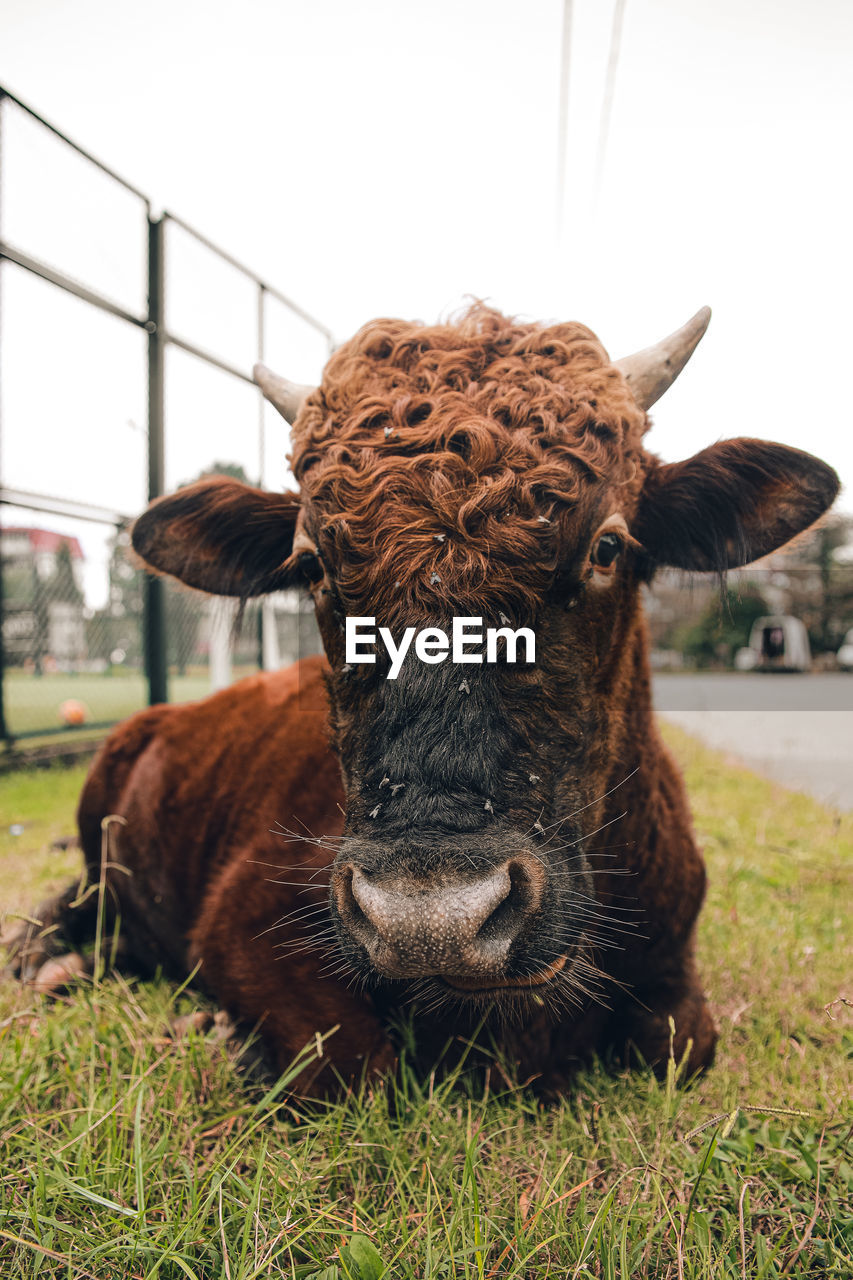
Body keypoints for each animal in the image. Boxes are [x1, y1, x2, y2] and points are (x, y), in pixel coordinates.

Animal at [3, 304, 835, 1095]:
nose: (430, 922)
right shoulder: (243, 924)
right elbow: (355, 1069)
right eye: (312, 564)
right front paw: (221, 1035)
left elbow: (680, 1044)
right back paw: (43, 957)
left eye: (606, 546)